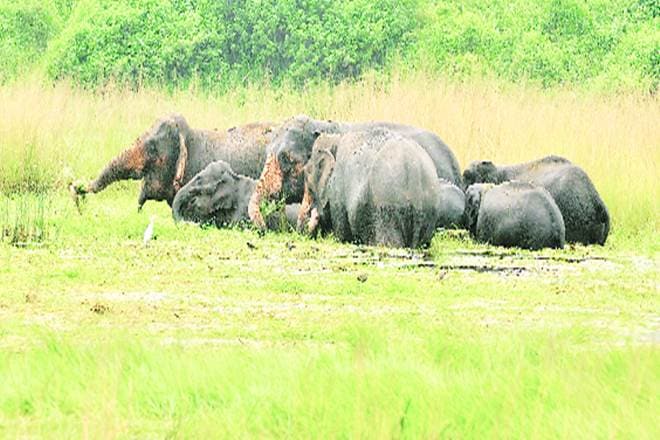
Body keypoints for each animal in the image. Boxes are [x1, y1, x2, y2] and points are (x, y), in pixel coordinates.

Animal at [297, 128, 442, 248]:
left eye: (307, 180)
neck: (335, 139)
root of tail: (414, 171)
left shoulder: (338, 193)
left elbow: (342, 234)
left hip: (387, 212)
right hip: (428, 215)